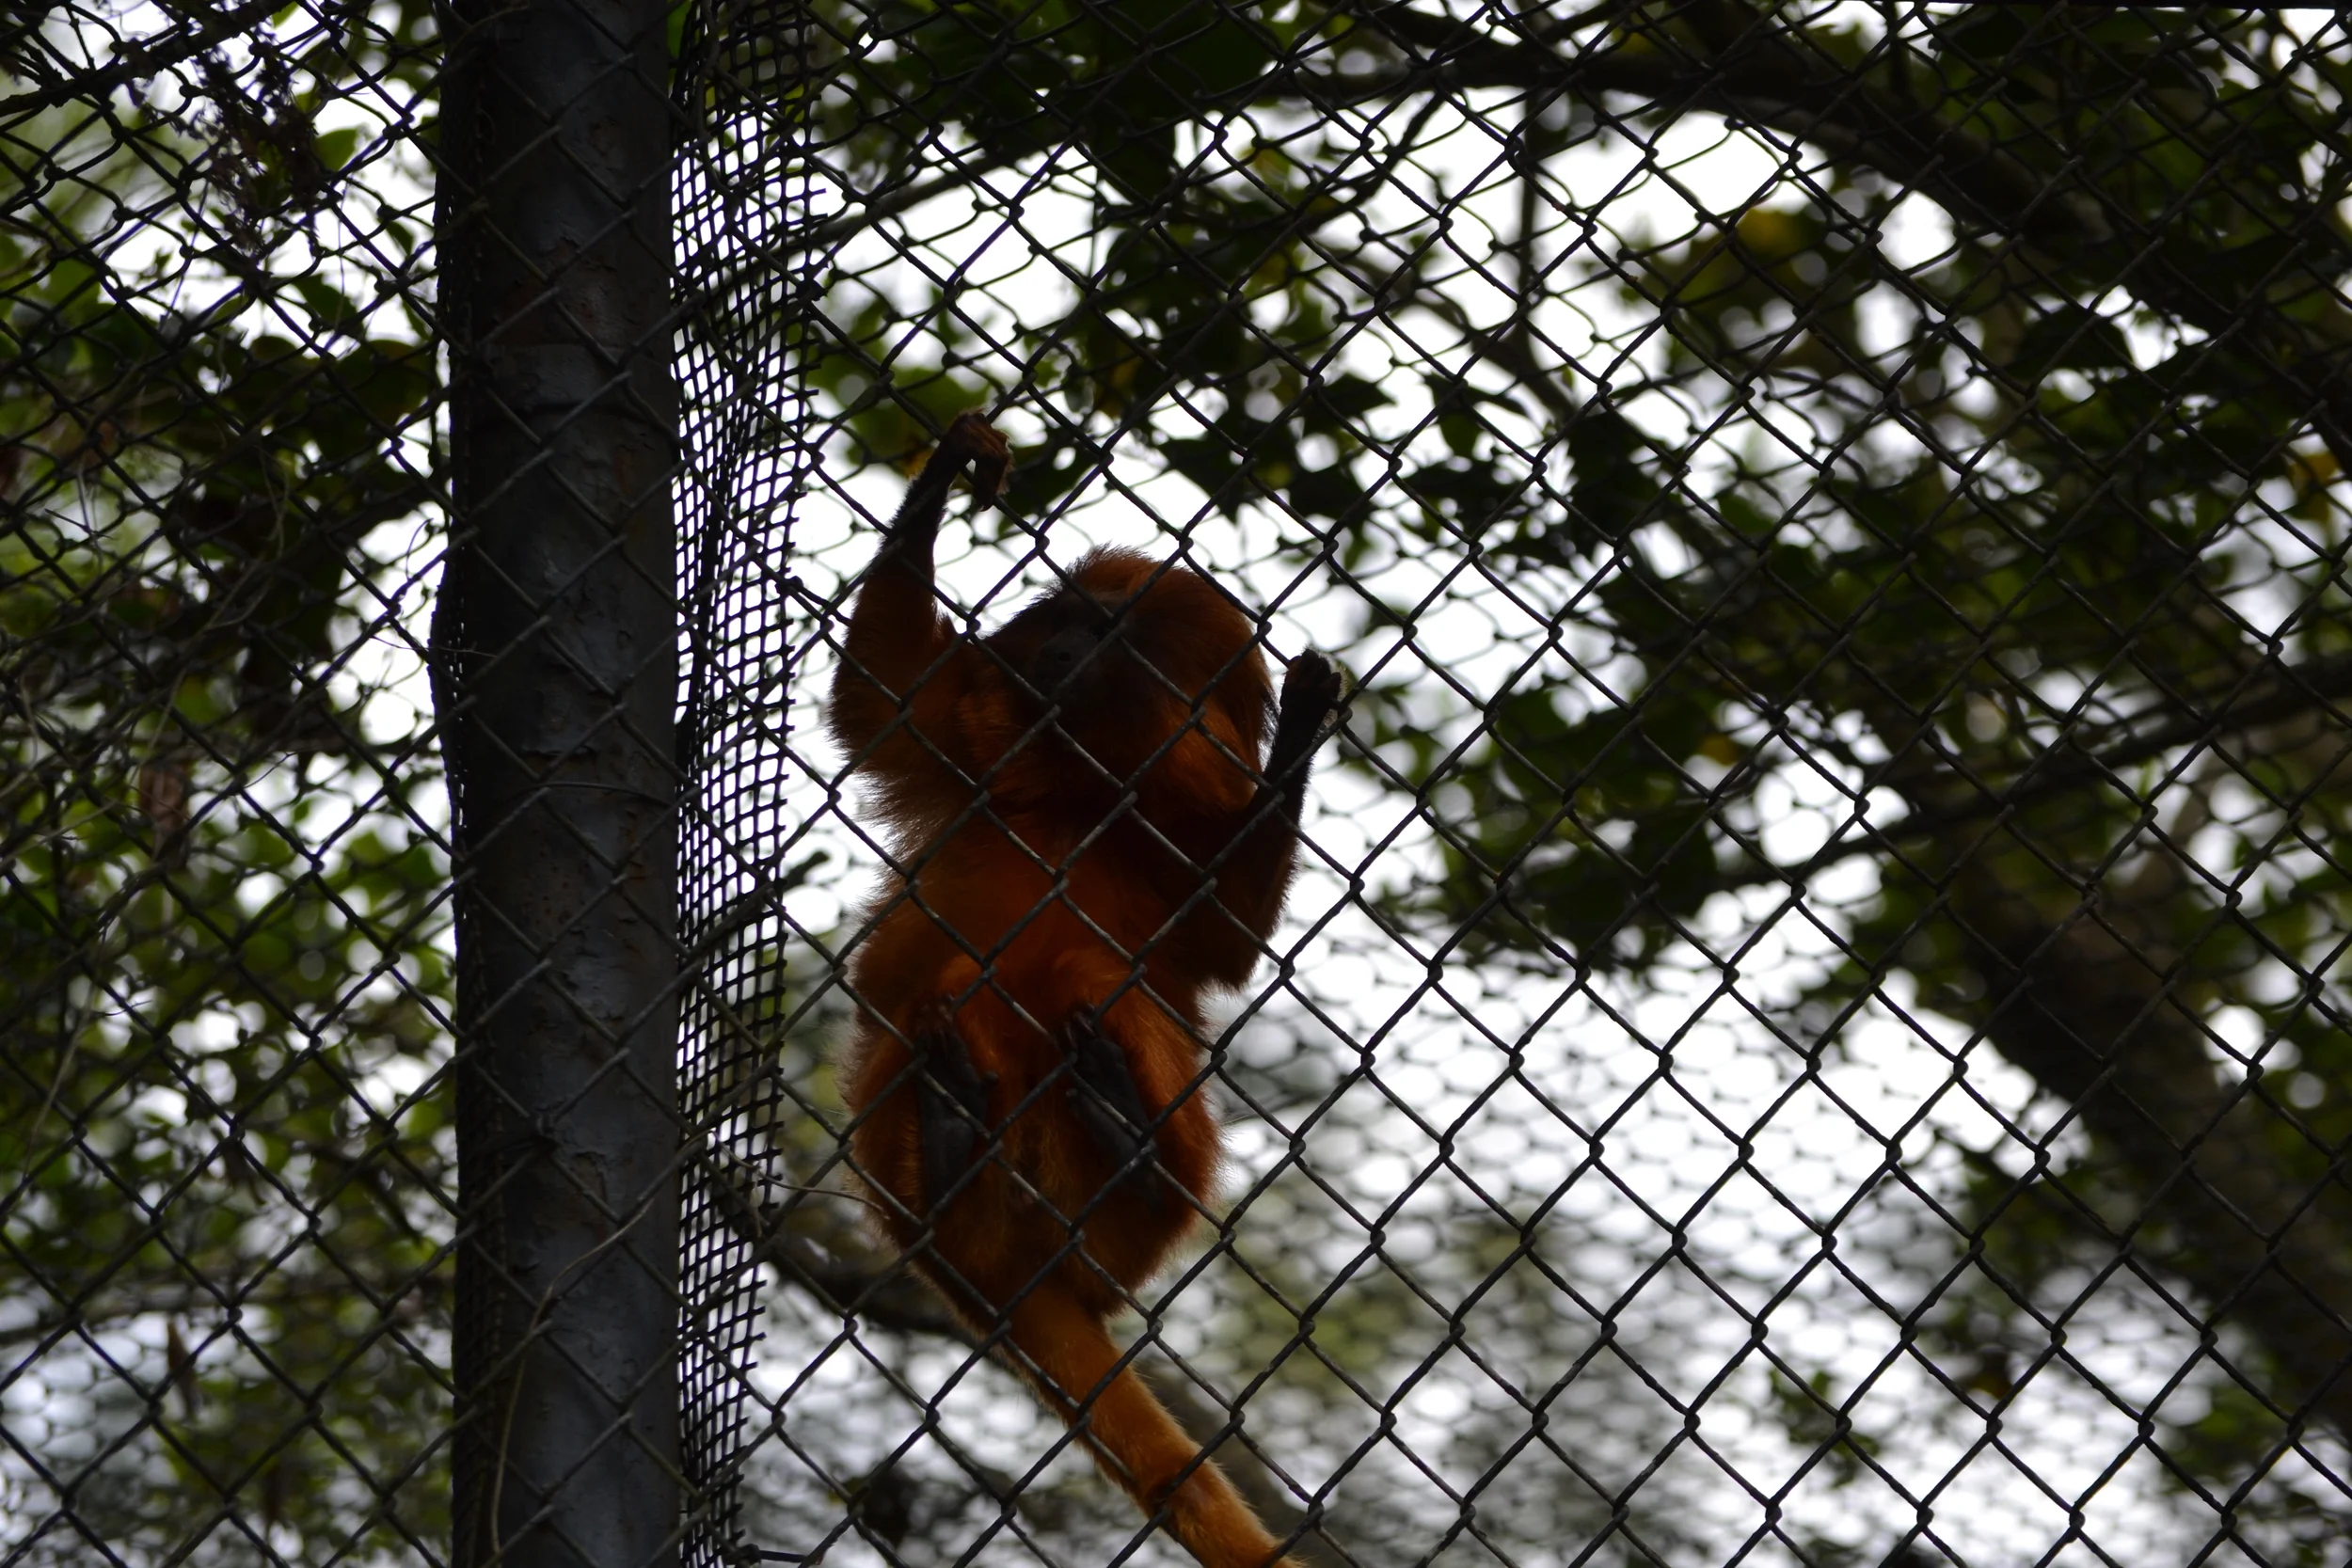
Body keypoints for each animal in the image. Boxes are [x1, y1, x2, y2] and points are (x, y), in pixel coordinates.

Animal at [828, 412, 1340, 1568]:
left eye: (1102, 638)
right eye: (1062, 625)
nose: (1058, 652)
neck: (1083, 792)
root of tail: (1019, 1269)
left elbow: (1221, 938)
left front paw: (1296, 743)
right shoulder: (972, 751)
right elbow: (883, 700)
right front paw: (945, 471)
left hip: (1105, 1213)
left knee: (1105, 993)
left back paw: (1126, 1144)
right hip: (895, 1127)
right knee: (930, 1011)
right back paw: (954, 1146)